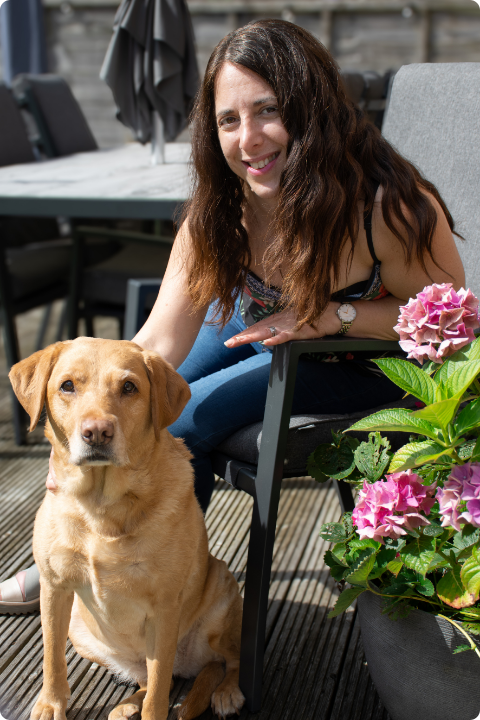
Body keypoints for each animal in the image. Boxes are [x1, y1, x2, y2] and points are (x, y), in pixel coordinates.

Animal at [11, 338, 244, 720]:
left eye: (129, 387)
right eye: (67, 386)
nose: (97, 432)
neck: (101, 508)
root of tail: (189, 664)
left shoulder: (164, 607)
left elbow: (160, 693)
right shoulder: (54, 588)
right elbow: (52, 659)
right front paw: (50, 704)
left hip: (223, 596)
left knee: (226, 661)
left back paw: (226, 692)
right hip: (80, 629)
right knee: (149, 678)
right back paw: (127, 705)